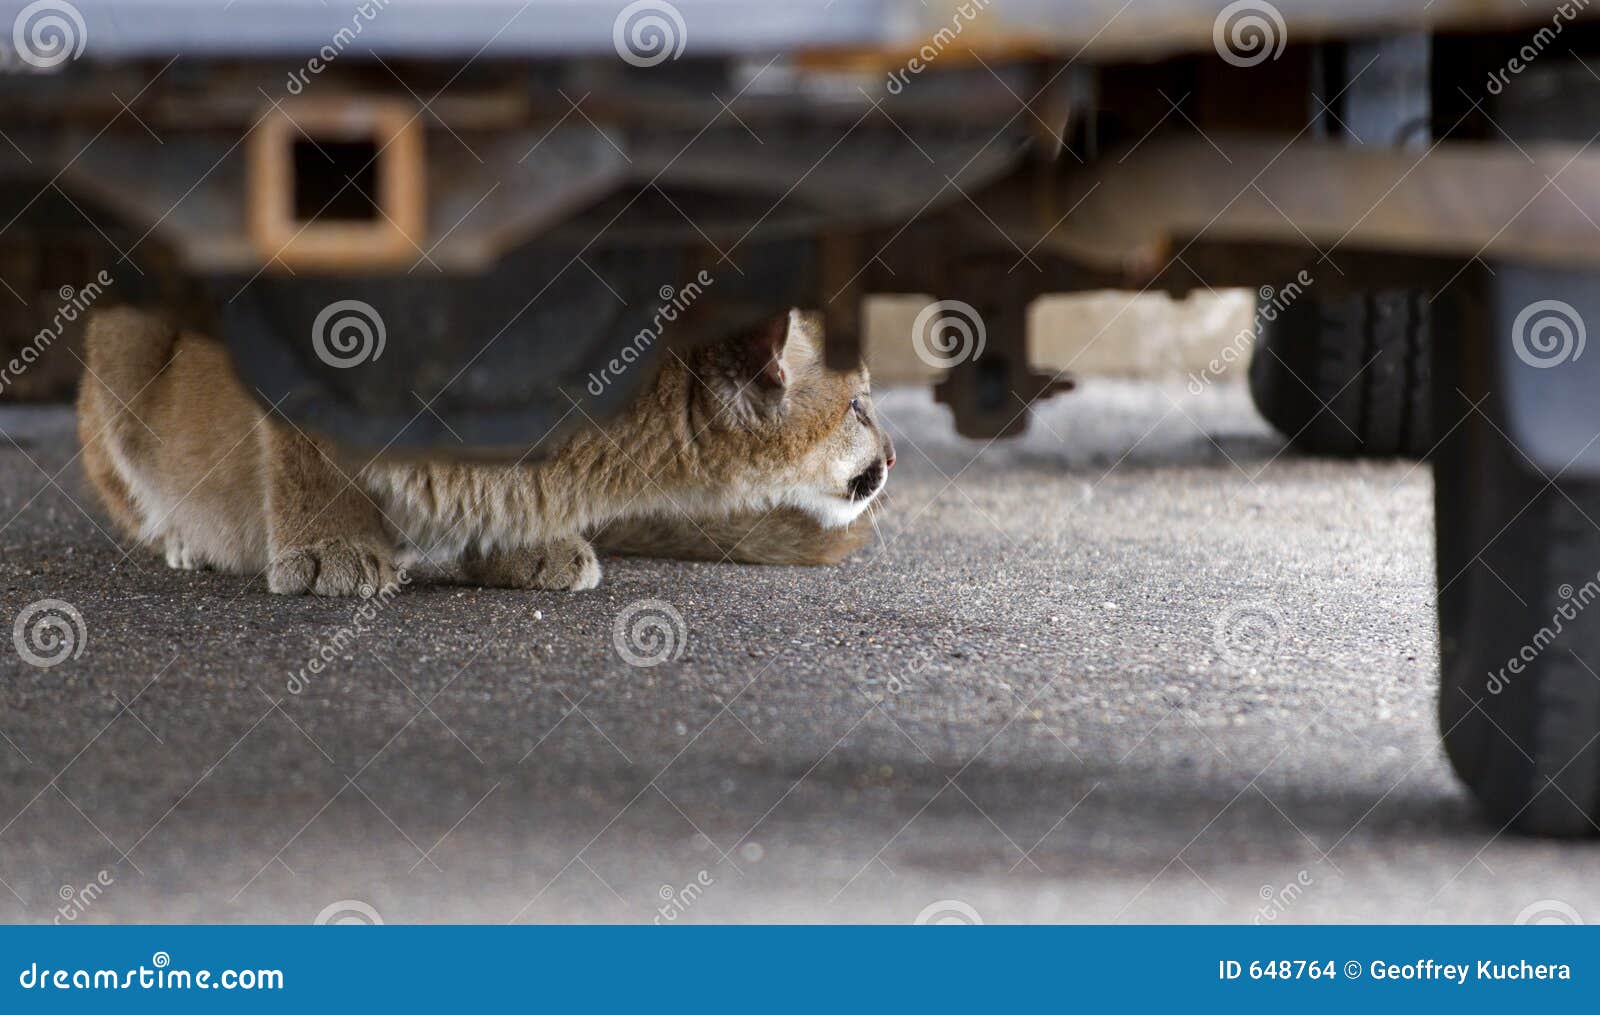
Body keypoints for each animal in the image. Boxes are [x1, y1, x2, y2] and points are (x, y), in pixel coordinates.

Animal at [75, 308, 896, 592]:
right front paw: (328, 551)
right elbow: (307, 455)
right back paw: (189, 540)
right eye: (858, 404)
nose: (892, 456)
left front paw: (523, 544)